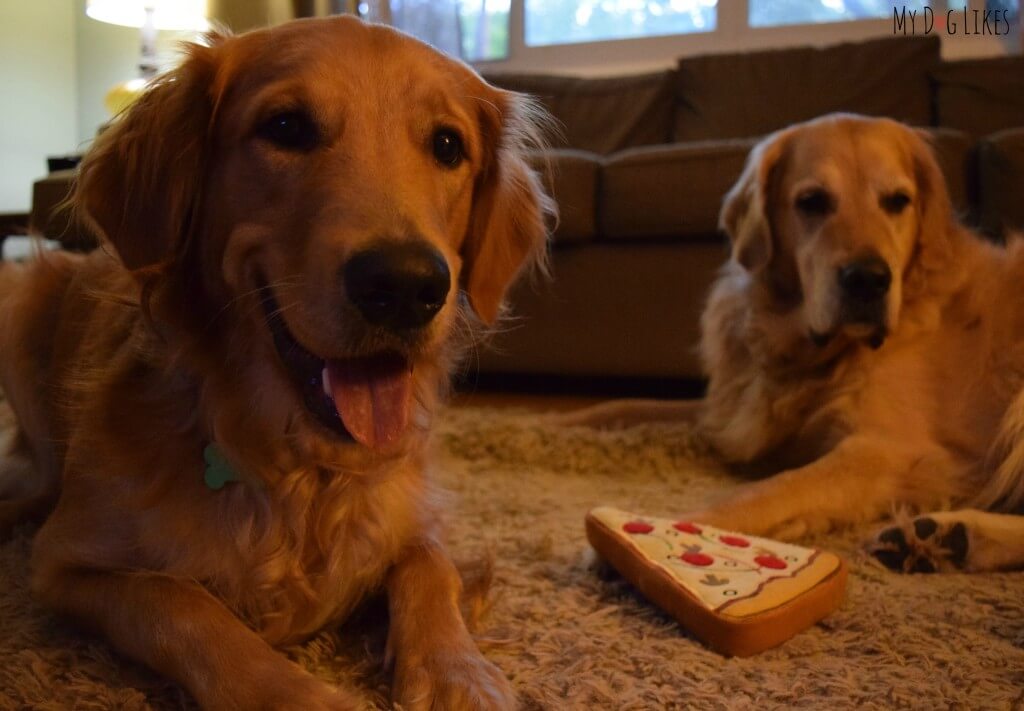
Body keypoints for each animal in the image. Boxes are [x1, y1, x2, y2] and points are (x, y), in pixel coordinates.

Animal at [0, 16, 552, 711]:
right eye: (286, 127)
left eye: (448, 145)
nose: (406, 286)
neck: (303, 468)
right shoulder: (63, 564)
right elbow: (181, 602)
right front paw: (299, 696)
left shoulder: (416, 516)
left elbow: (429, 567)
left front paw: (459, 672)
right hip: (22, 295)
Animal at [561, 114, 1024, 577]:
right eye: (812, 201)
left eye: (897, 201)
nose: (868, 279)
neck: (806, 350)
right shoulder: (734, 411)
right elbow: (626, 404)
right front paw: (556, 423)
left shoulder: (891, 450)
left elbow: (768, 490)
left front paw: (641, 537)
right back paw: (945, 538)